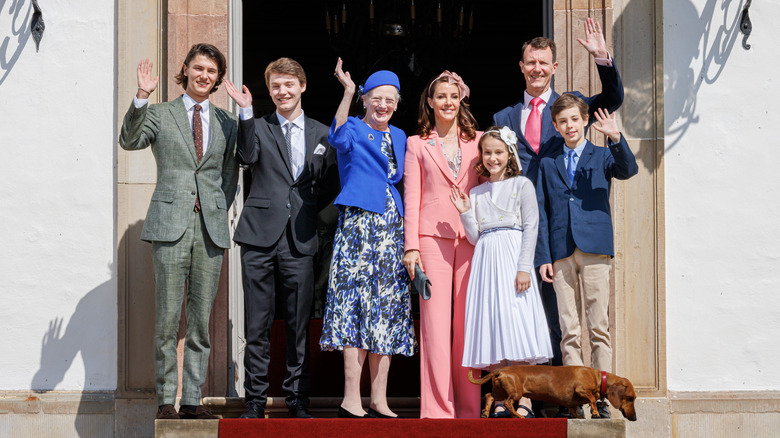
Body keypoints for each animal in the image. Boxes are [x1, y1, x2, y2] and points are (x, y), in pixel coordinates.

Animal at [466, 362, 636, 420]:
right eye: (630, 398)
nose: (634, 418)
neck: (598, 377)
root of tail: (501, 370)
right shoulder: (581, 389)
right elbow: (592, 399)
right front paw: (595, 413)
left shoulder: (572, 403)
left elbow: (574, 409)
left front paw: (577, 417)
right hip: (515, 393)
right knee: (508, 403)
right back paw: (518, 416)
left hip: (499, 391)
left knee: (489, 396)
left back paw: (485, 413)